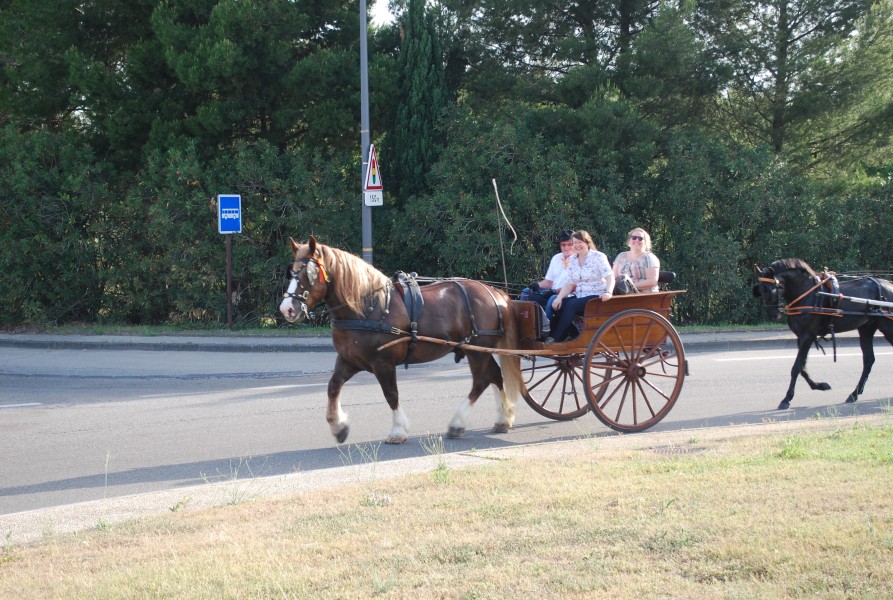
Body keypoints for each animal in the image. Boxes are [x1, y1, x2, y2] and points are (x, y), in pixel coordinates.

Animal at [276, 237, 520, 442]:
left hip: (476, 350)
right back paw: (503, 419)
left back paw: (458, 423)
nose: (287, 308)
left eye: (308, 273)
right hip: (480, 350)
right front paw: (338, 426)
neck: (367, 307)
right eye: (291, 272)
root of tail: (493, 292)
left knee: (481, 381)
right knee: (494, 376)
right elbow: (333, 387)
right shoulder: (349, 360)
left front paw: (398, 430)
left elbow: (391, 394)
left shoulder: (383, 363)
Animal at [752, 255, 892, 410]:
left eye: (774, 289)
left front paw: (786, 399)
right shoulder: (801, 337)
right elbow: (802, 367)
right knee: (868, 360)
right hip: (866, 328)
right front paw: (820, 385)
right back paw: (854, 394)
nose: (773, 315)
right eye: (760, 290)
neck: (808, 293)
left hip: (887, 326)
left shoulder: (808, 336)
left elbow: (796, 367)